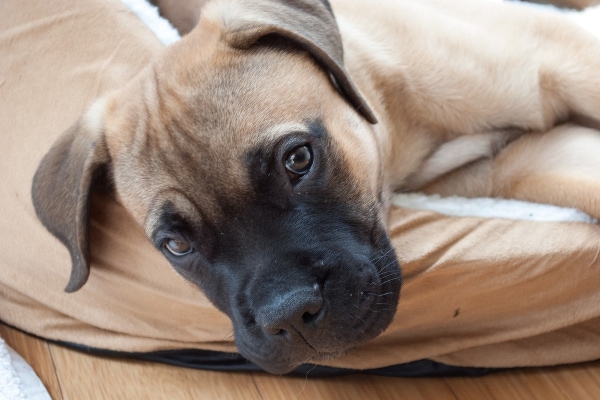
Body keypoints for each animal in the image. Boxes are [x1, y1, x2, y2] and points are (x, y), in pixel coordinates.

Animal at [30, 0, 600, 376]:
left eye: (298, 159)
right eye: (176, 244)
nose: (290, 317)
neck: (401, 125)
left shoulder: (566, 58)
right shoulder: (523, 162)